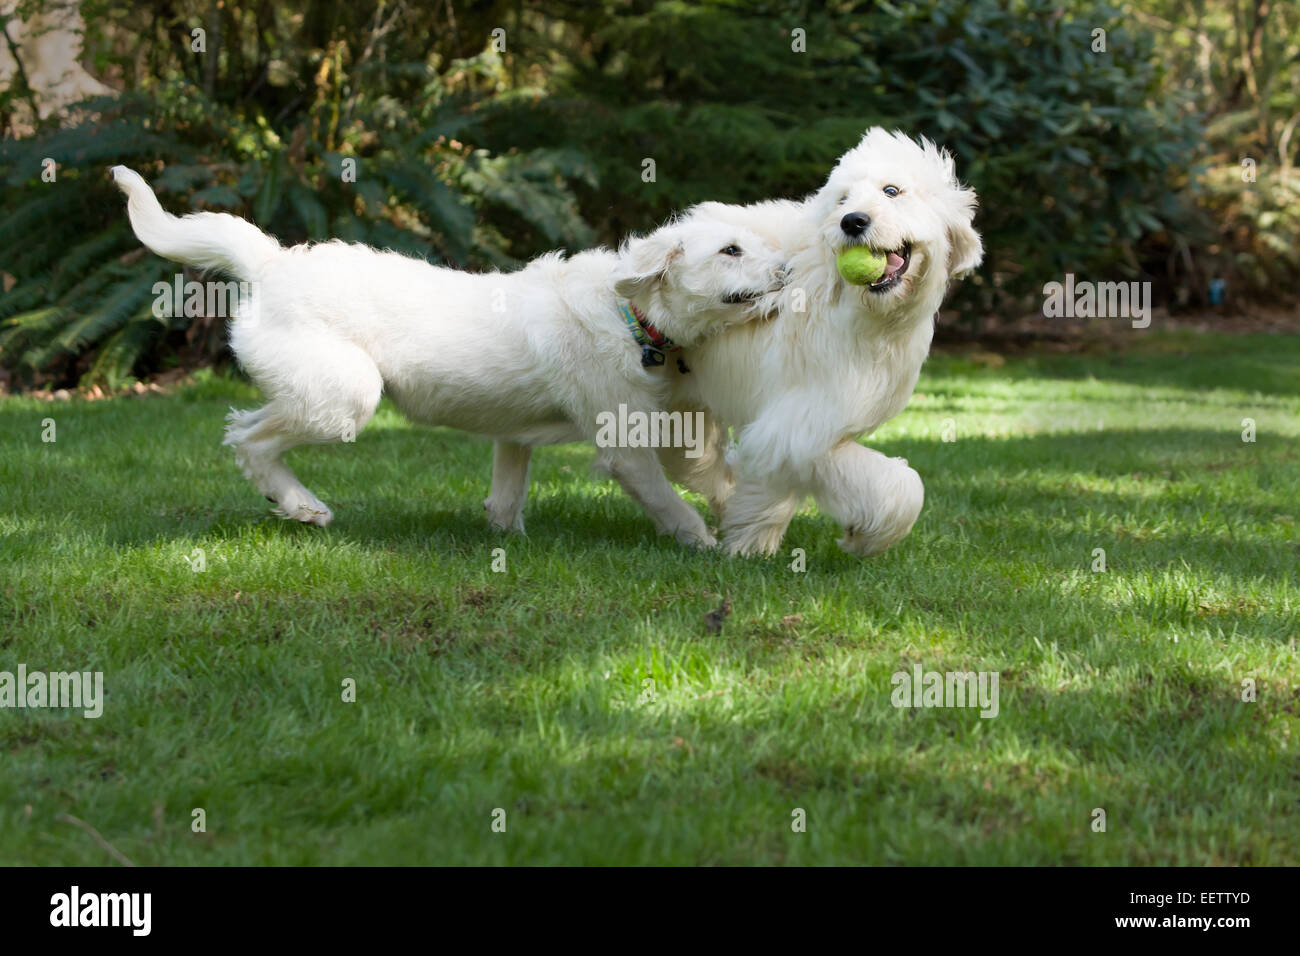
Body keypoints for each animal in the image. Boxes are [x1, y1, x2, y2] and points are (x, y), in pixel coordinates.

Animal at [111, 166, 780, 546]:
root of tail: (273, 262)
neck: (628, 312)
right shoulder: (624, 447)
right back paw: (299, 505)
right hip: (346, 397)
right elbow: (668, 501)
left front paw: (505, 536)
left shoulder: (515, 436)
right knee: (247, 436)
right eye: (730, 250)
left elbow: (507, 492)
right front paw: (707, 541)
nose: (788, 270)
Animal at [644, 130, 977, 556]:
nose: (852, 221)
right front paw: (752, 545)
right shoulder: (798, 423)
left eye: (891, 190)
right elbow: (904, 488)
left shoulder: (817, 425)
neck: (860, 312)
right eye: (842, 200)